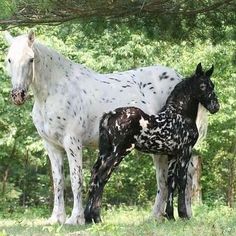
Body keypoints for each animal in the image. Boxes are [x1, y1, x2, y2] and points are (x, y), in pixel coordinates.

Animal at [85, 63, 219, 223]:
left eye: (213, 85)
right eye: (203, 86)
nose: (215, 106)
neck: (179, 115)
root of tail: (109, 115)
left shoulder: (172, 155)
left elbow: (170, 182)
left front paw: (170, 215)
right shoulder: (185, 152)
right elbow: (182, 181)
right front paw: (183, 214)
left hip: (105, 152)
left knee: (94, 175)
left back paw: (88, 218)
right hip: (120, 151)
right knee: (102, 175)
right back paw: (96, 217)